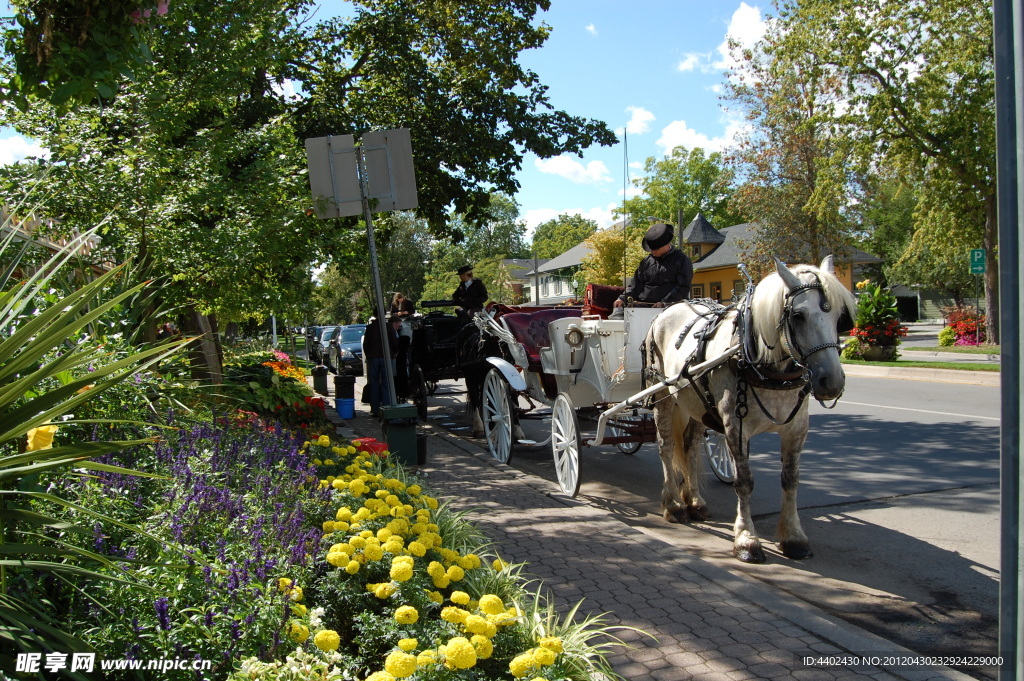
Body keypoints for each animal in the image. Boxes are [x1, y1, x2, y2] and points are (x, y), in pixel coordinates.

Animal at [647, 256, 856, 561]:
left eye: (840, 316)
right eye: (798, 315)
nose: (832, 382)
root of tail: (668, 310)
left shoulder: (796, 429)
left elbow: (791, 480)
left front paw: (793, 537)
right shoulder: (736, 427)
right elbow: (744, 481)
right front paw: (747, 540)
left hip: (696, 401)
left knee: (690, 447)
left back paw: (695, 502)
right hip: (662, 394)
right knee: (666, 446)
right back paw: (673, 504)